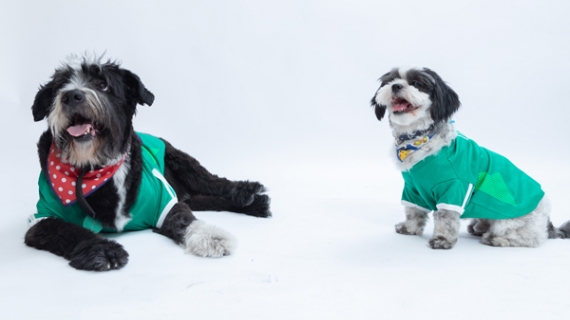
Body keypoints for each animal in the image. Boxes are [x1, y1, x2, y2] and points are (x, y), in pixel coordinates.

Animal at [27, 55, 272, 270]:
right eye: (60, 87)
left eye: (102, 84)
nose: (70, 96)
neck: (96, 169)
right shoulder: (42, 219)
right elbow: (70, 231)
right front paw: (104, 251)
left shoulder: (165, 200)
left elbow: (183, 218)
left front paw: (211, 236)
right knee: (201, 199)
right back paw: (256, 203)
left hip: (184, 163)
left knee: (214, 183)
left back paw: (249, 193)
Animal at [370, 66, 568, 249]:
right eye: (391, 80)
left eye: (416, 83)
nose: (396, 86)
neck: (419, 139)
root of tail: (547, 221)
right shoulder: (413, 188)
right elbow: (413, 211)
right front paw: (409, 228)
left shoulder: (454, 187)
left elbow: (446, 217)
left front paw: (442, 239)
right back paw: (479, 226)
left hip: (512, 221)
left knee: (531, 238)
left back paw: (496, 238)